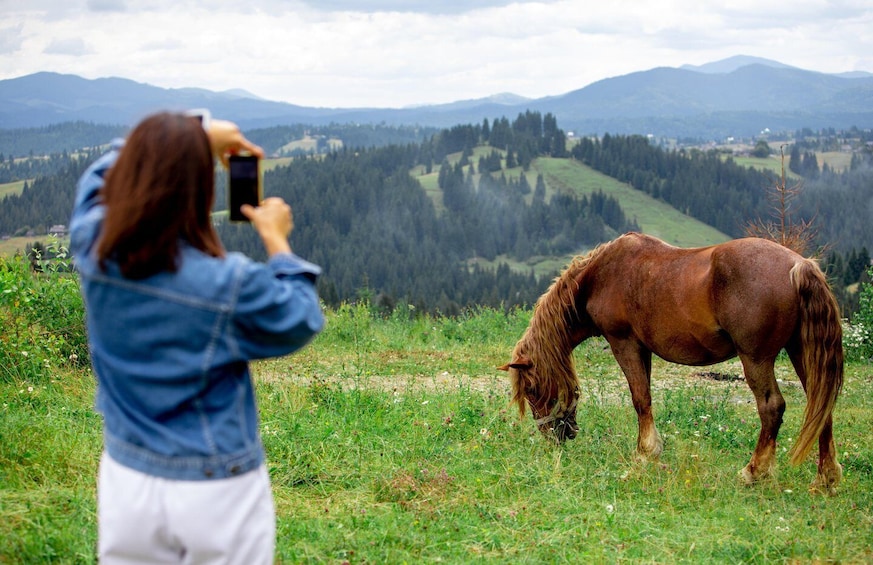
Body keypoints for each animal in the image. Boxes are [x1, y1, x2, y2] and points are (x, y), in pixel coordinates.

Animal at [500, 231, 840, 492]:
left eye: (532, 390)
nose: (555, 437)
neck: (599, 277)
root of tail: (800, 265)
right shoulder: (643, 349)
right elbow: (646, 397)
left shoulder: (624, 344)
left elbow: (640, 399)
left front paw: (644, 454)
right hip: (802, 351)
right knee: (820, 406)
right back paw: (826, 479)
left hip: (756, 358)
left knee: (772, 408)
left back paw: (753, 471)